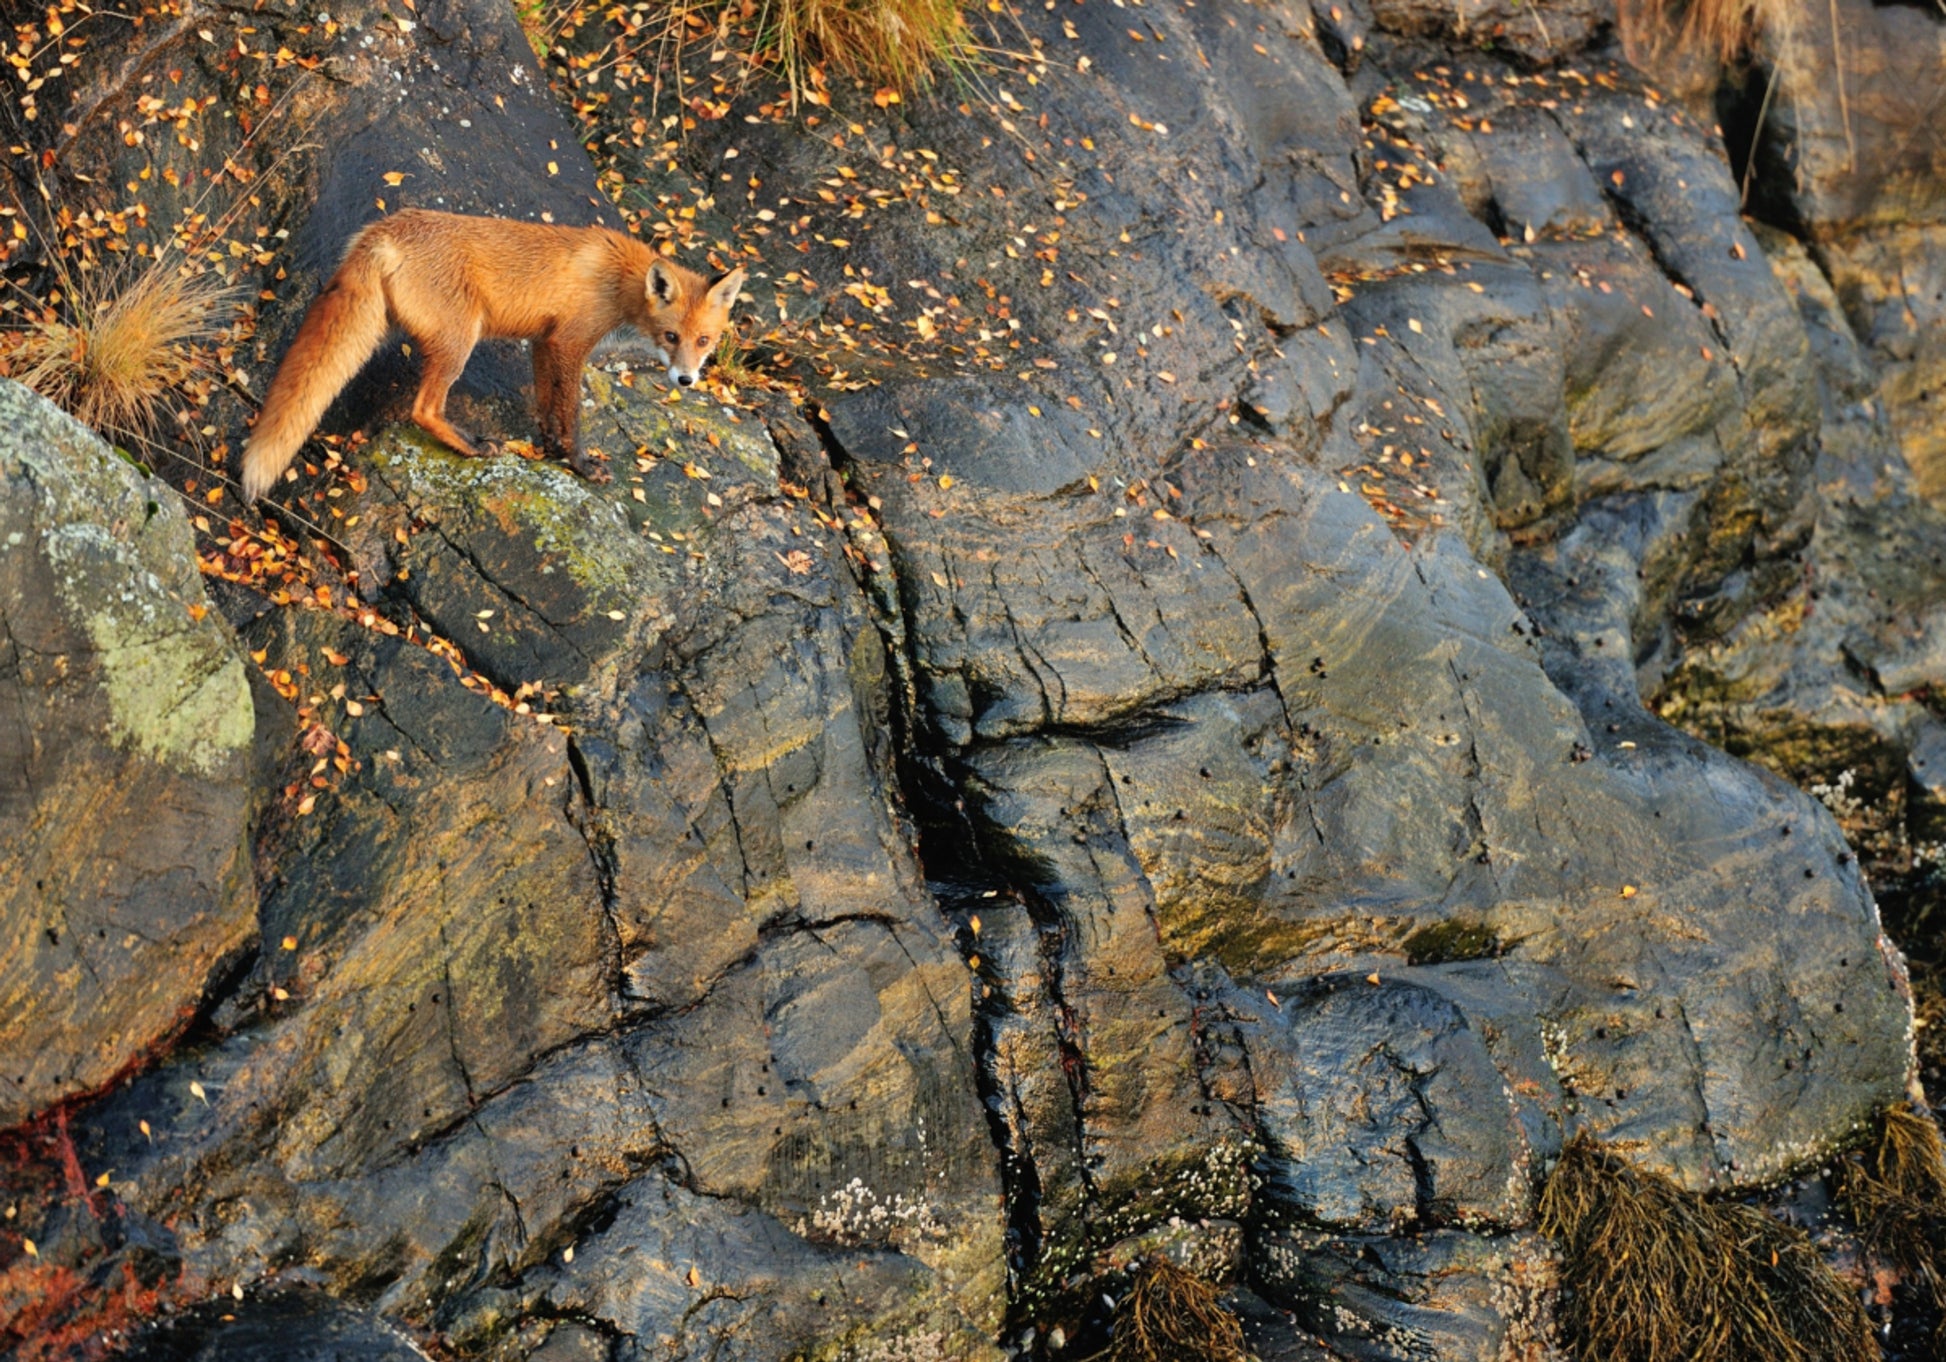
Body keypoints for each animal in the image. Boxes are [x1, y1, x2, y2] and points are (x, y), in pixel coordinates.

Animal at [240, 208, 746, 502]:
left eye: (704, 341)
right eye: (671, 336)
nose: (686, 381)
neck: (620, 281)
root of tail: (384, 230)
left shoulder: (544, 342)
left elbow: (546, 405)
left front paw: (549, 448)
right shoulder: (570, 343)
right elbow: (571, 411)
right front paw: (580, 465)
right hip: (460, 341)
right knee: (423, 409)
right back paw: (471, 446)